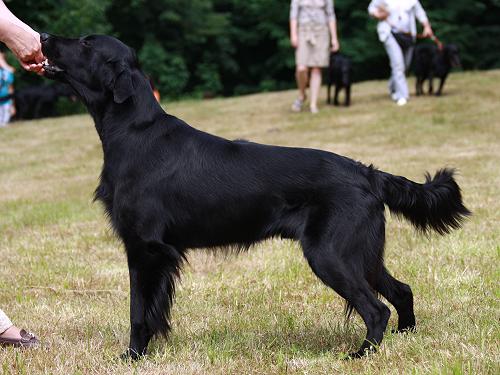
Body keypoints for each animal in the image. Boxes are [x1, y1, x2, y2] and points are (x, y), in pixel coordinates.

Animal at [41, 34, 470, 362]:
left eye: (85, 43)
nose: (43, 37)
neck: (134, 131)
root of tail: (366, 172)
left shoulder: (144, 247)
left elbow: (137, 311)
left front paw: (132, 357)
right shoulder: (154, 251)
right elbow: (151, 311)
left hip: (330, 254)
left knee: (376, 308)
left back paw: (360, 355)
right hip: (362, 253)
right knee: (401, 290)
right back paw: (404, 337)